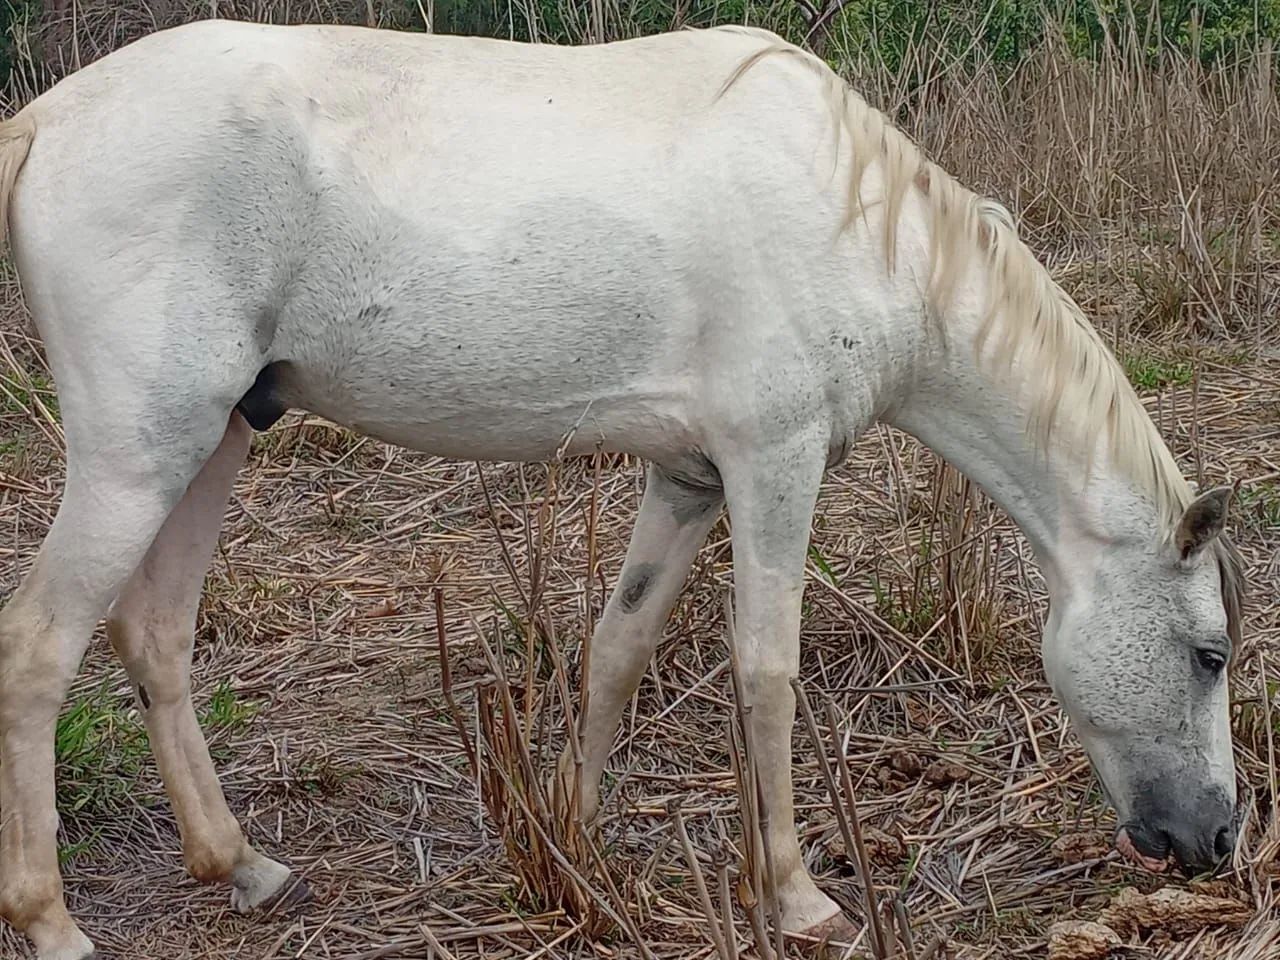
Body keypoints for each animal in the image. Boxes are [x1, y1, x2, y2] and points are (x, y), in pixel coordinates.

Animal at [0, 19, 1245, 960]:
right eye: (1207, 654)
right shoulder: (773, 463)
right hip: (137, 457)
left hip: (212, 440)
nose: (1216, 840)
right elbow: (764, 670)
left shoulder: (685, 481)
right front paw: (794, 896)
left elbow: (617, 645)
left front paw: (576, 828)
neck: (853, 225)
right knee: (40, 650)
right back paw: (51, 921)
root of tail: (49, 119)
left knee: (156, 637)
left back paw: (242, 864)